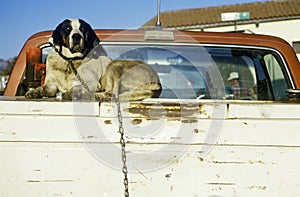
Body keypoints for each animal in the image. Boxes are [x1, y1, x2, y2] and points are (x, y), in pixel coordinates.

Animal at [24, 18, 162, 101]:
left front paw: (71, 93)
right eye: (67, 28)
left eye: (83, 29)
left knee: (111, 93)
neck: (70, 61)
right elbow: (46, 88)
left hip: (114, 66)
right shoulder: (51, 83)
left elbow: (77, 86)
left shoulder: (92, 82)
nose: (76, 36)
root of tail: (157, 82)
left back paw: (96, 95)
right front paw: (34, 92)